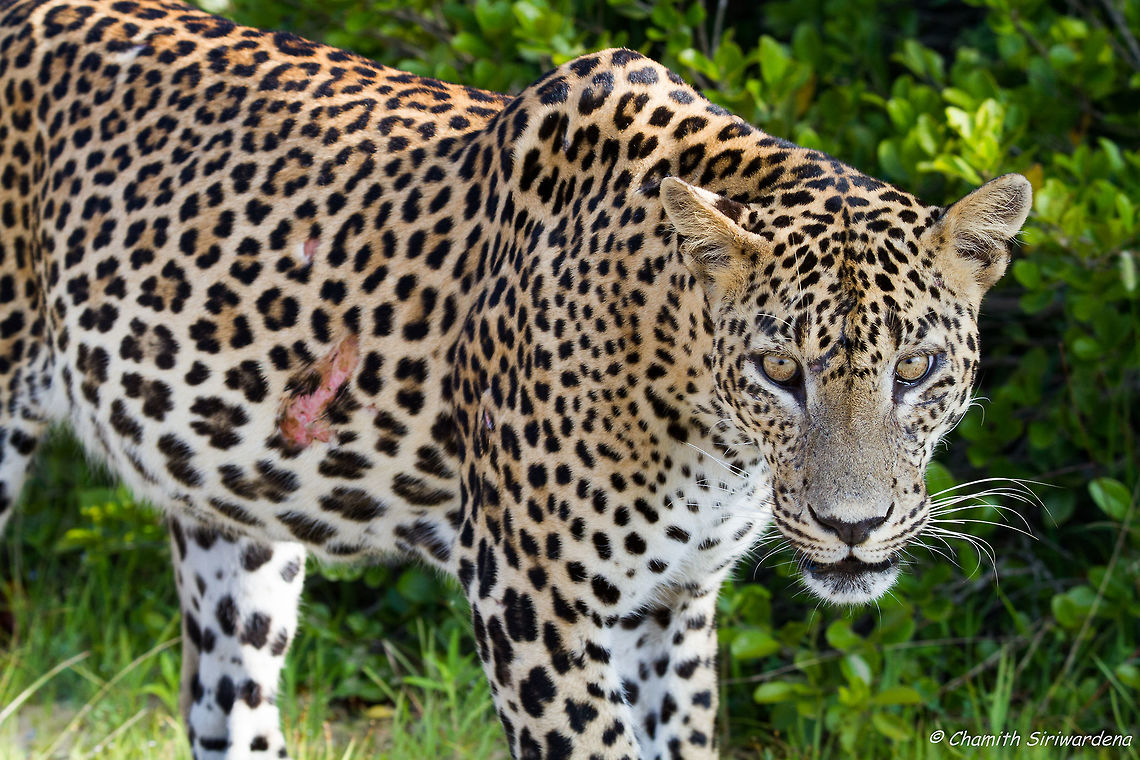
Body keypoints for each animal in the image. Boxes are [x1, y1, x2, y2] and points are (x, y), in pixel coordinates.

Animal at [0, 0, 1033, 758]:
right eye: (780, 369)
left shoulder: (675, 610)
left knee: (227, 701)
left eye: (917, 367)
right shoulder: (536, 605)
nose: (852, 527)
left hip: (237, 518)